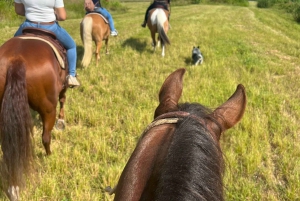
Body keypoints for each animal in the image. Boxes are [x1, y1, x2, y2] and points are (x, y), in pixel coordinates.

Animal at [0, 35, 67, 200]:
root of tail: (16, 60)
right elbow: (63, 99)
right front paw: (62, 121)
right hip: (48, 109)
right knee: (46, 137)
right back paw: (49, 155)